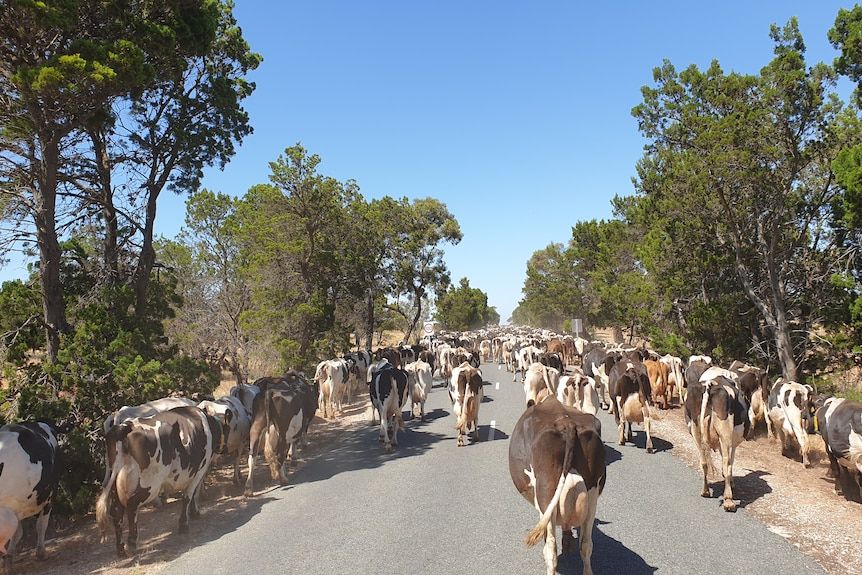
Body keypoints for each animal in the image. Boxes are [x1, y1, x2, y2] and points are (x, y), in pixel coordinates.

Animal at [96, 408, 224, 556]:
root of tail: (126, 427)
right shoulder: (199, 471)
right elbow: (188, 496)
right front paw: (185, 523)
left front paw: (193, 514)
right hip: (150, 484)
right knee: (132, 505)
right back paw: (131, 544)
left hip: (115, 482)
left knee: (117, 511)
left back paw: (120, 548)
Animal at [684, 378, 752, 512]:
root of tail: (709, 384)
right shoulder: (733, 444)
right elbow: (730, 462)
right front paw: (731, 482)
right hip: (724, 433)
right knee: (726, 463)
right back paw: (729, 501)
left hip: (695, 430)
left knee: (703, 462)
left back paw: (705, 491)